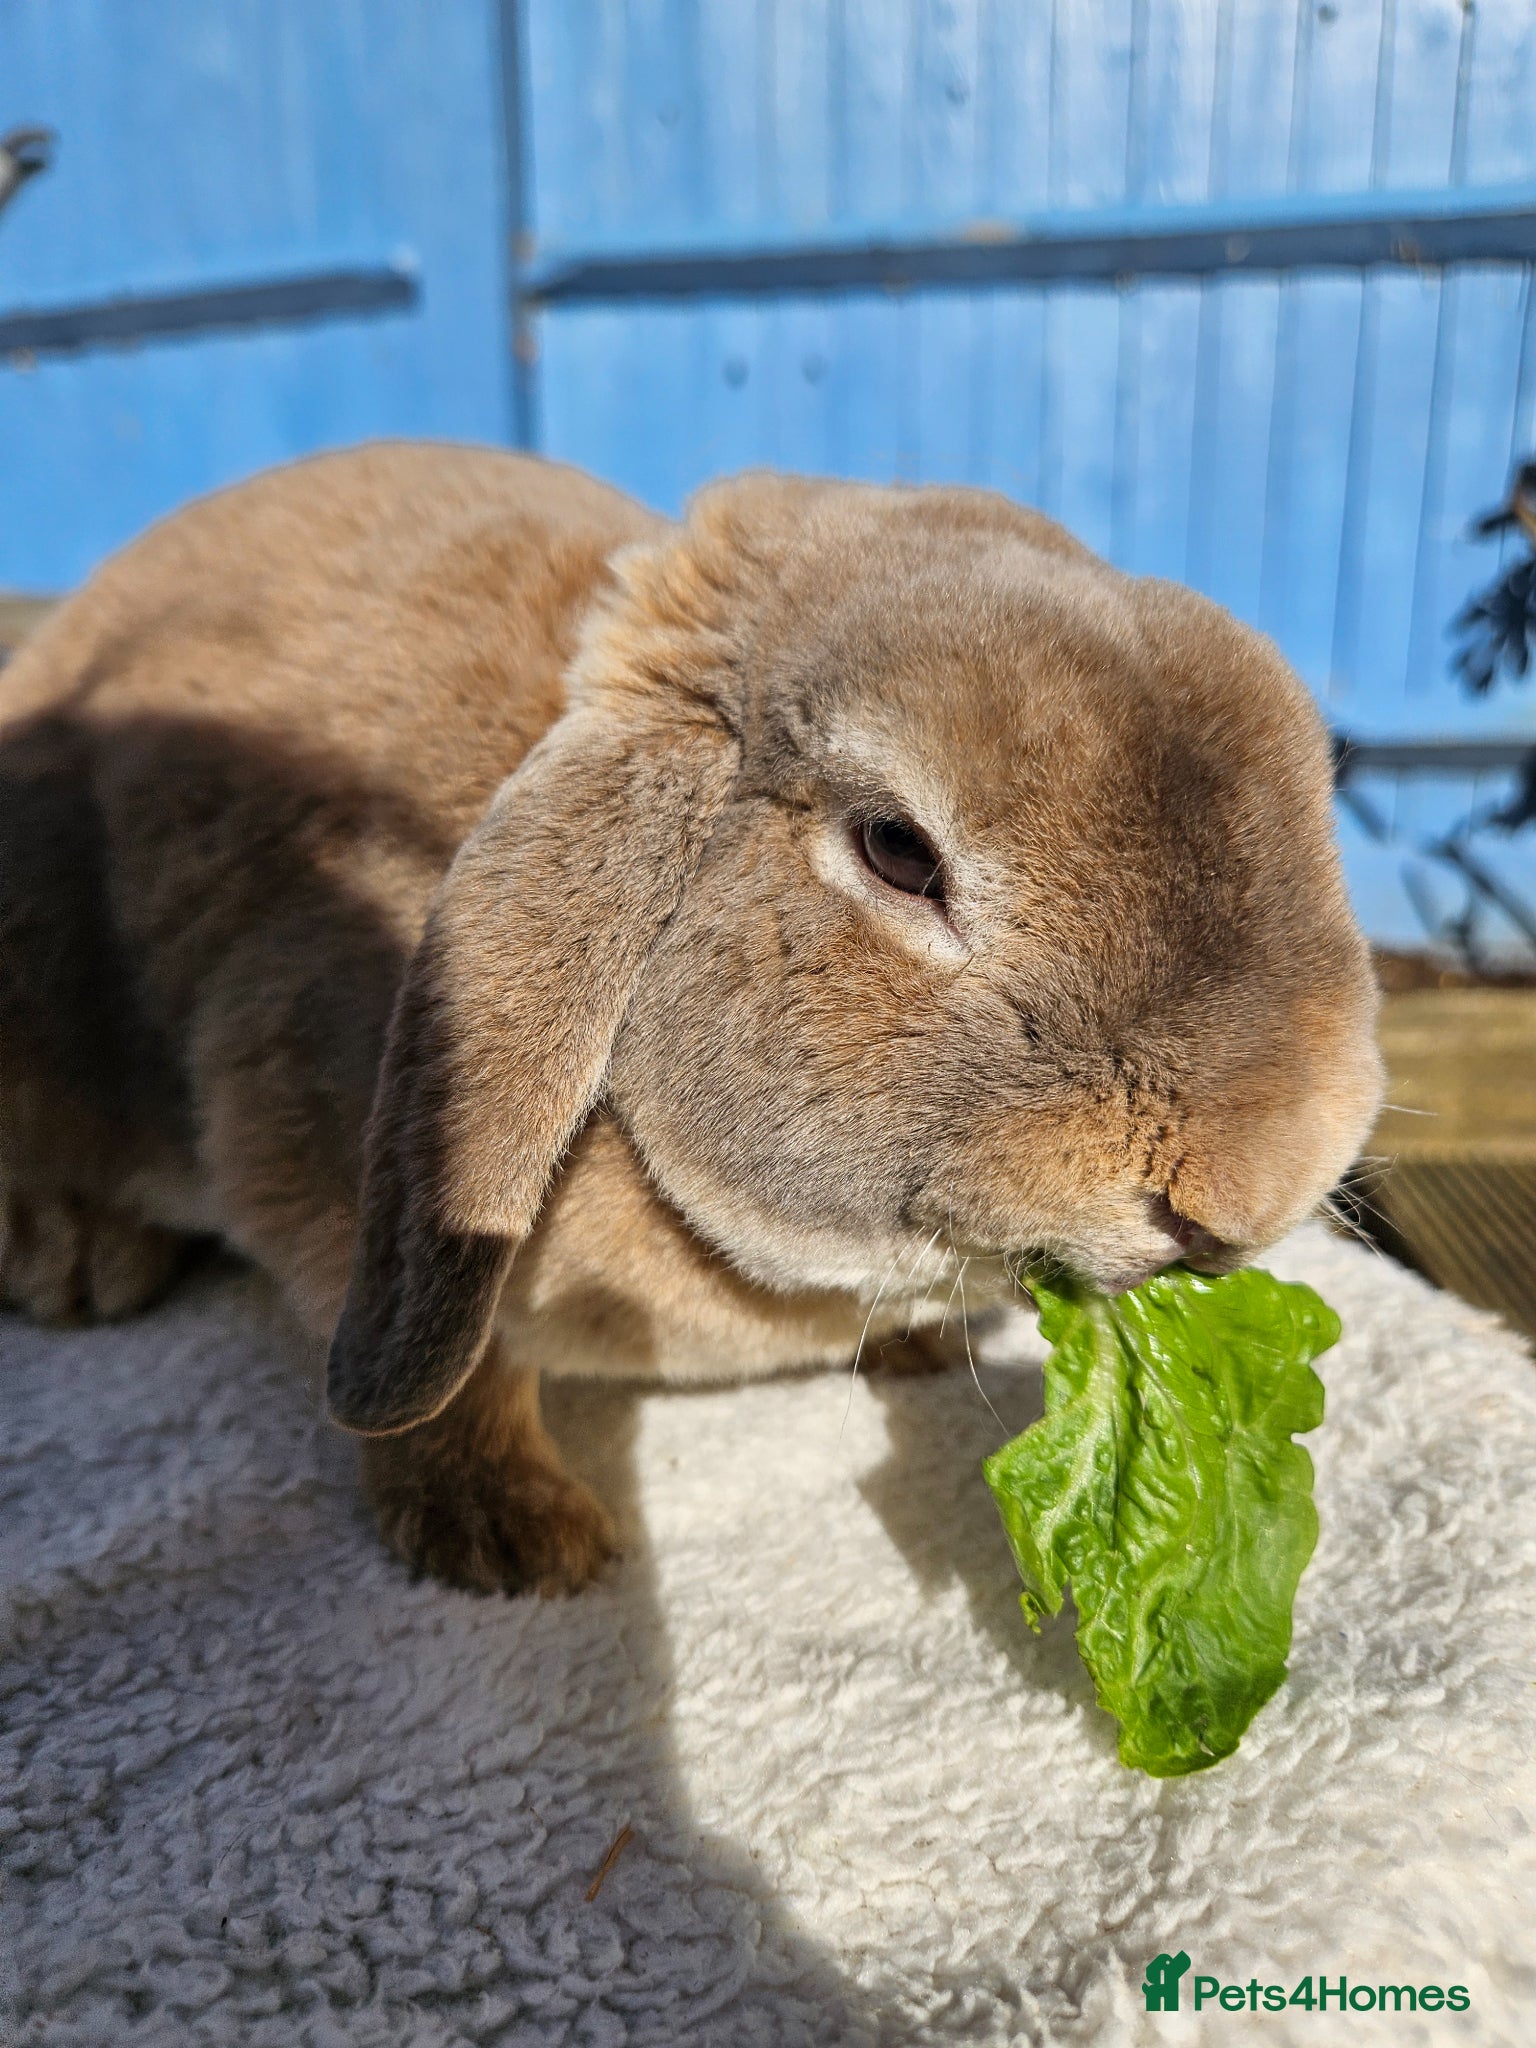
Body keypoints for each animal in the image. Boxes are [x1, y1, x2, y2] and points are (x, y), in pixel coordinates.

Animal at [0, 441, 1383, 1594]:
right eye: (897, 850)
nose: (1244, 1195)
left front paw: (920, 1350)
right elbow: (451, 1366)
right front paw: (514, 1539)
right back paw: (76, 1264)